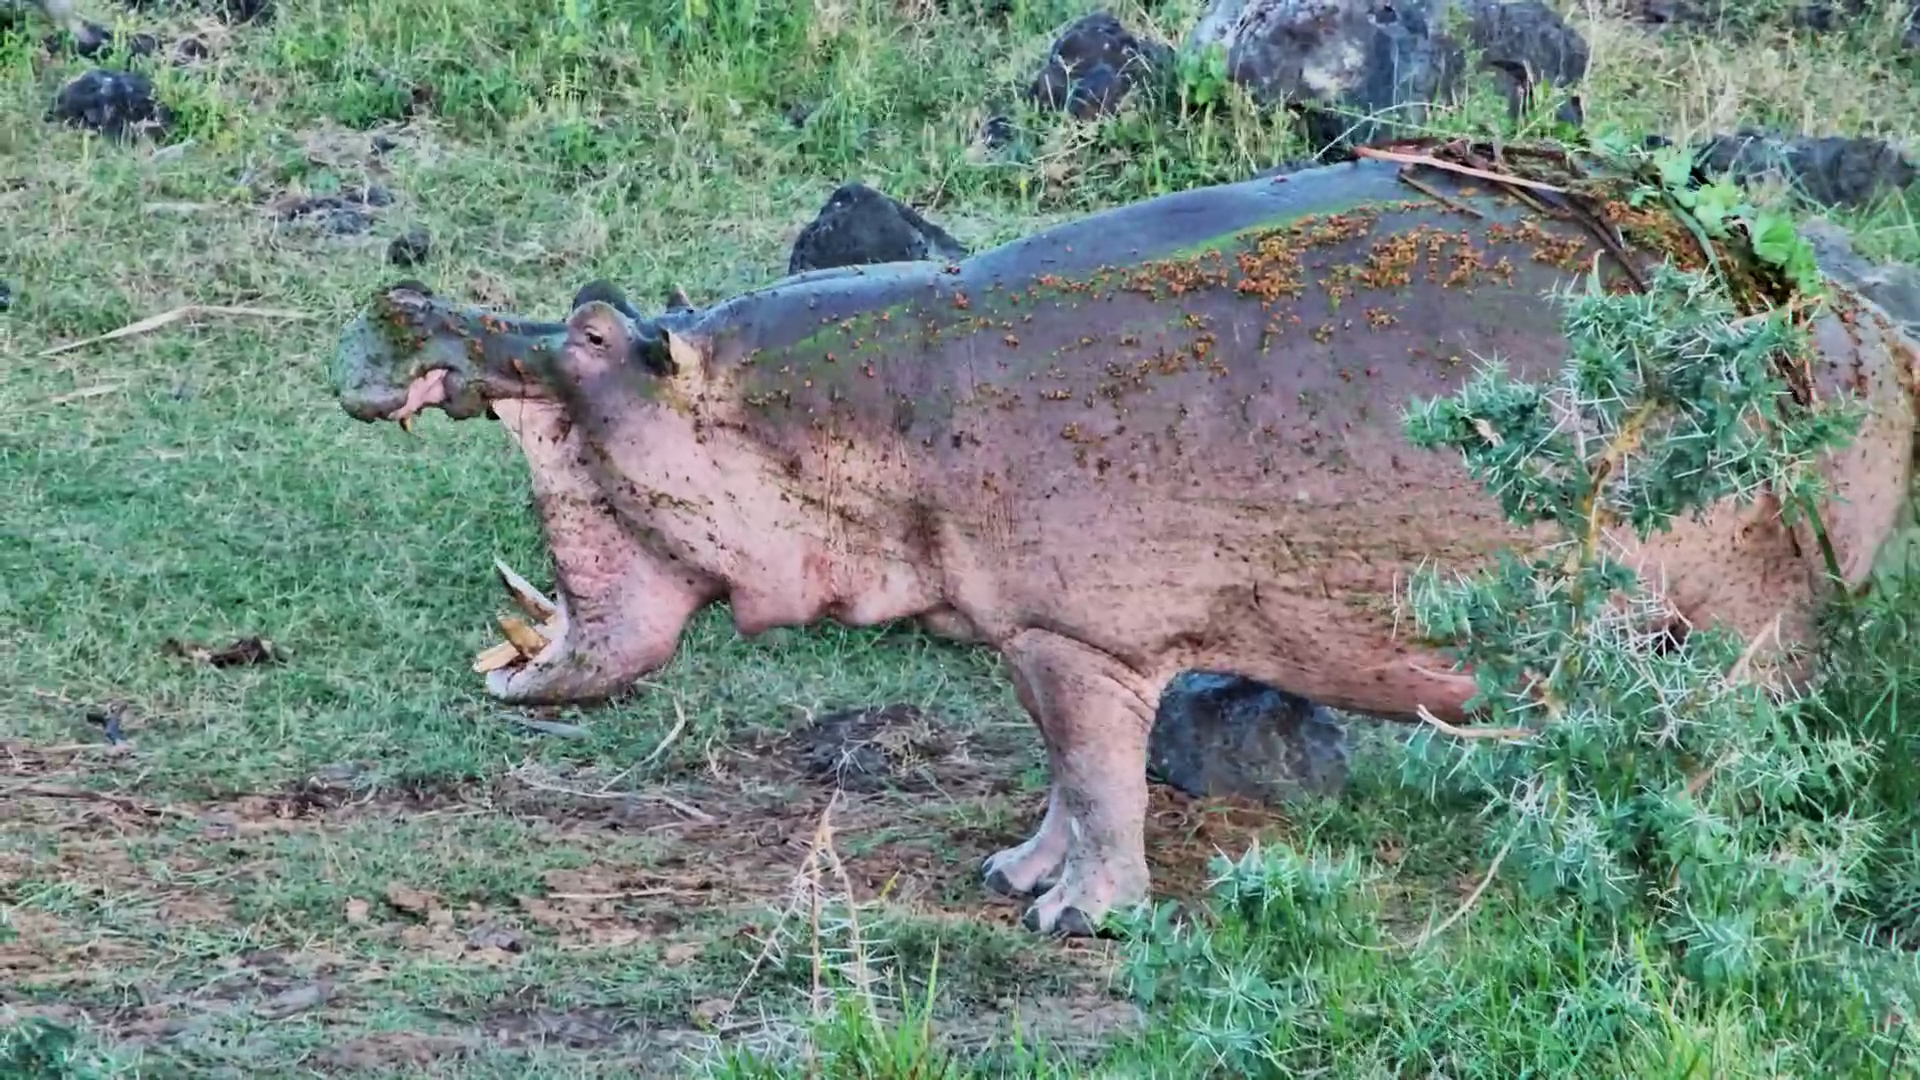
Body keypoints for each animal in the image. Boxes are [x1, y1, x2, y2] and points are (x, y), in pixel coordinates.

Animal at [330, 154, 1917, 936]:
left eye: (599, 334)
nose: (406, 306)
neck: (837, 407)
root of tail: (1857, 315)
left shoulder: (1081, 636)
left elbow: (1100, 779)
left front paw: (1080, 921)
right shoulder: (1022, 634)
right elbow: (1057, 779)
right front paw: (1012, 876)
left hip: (1762, 604)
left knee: (1759, 723)